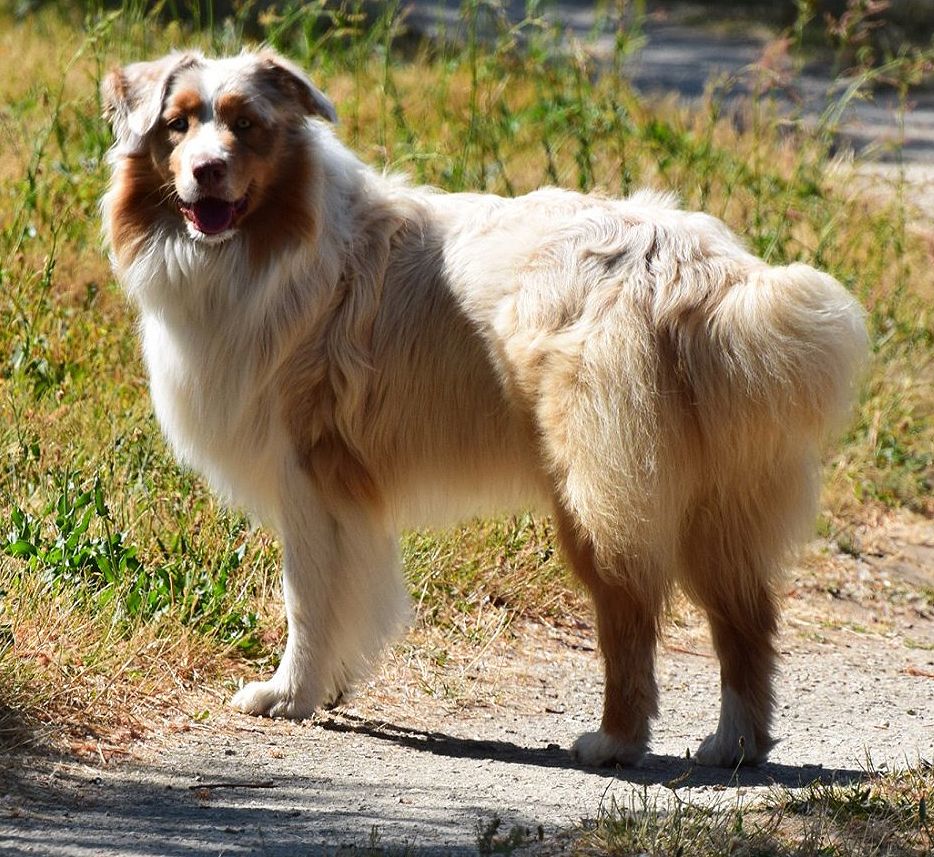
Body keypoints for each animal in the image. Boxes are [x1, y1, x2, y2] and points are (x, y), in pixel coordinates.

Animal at [100, 48, 872, 768]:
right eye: (177, 125)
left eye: (246, 125)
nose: (205, 171)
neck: (274, 241)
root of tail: (700, 268)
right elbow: (353, 597)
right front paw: (334, 684)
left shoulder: (310, 474)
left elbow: (308, 599)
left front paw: (289, 695)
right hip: (713, 497)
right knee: (747, 622)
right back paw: (733, 745)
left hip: (599, 489)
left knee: (630, 614)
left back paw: (614, 741)